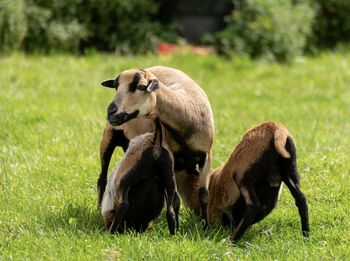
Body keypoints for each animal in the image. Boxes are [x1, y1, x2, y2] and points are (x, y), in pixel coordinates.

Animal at [100, 65, 216, 223]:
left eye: (141, 86)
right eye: (116, 87)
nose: (111, 112)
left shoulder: (206, 156)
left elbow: (204, 196)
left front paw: (205, 226)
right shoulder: (172, 162)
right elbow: (175, 200)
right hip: (108, 138)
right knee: (102, 178)